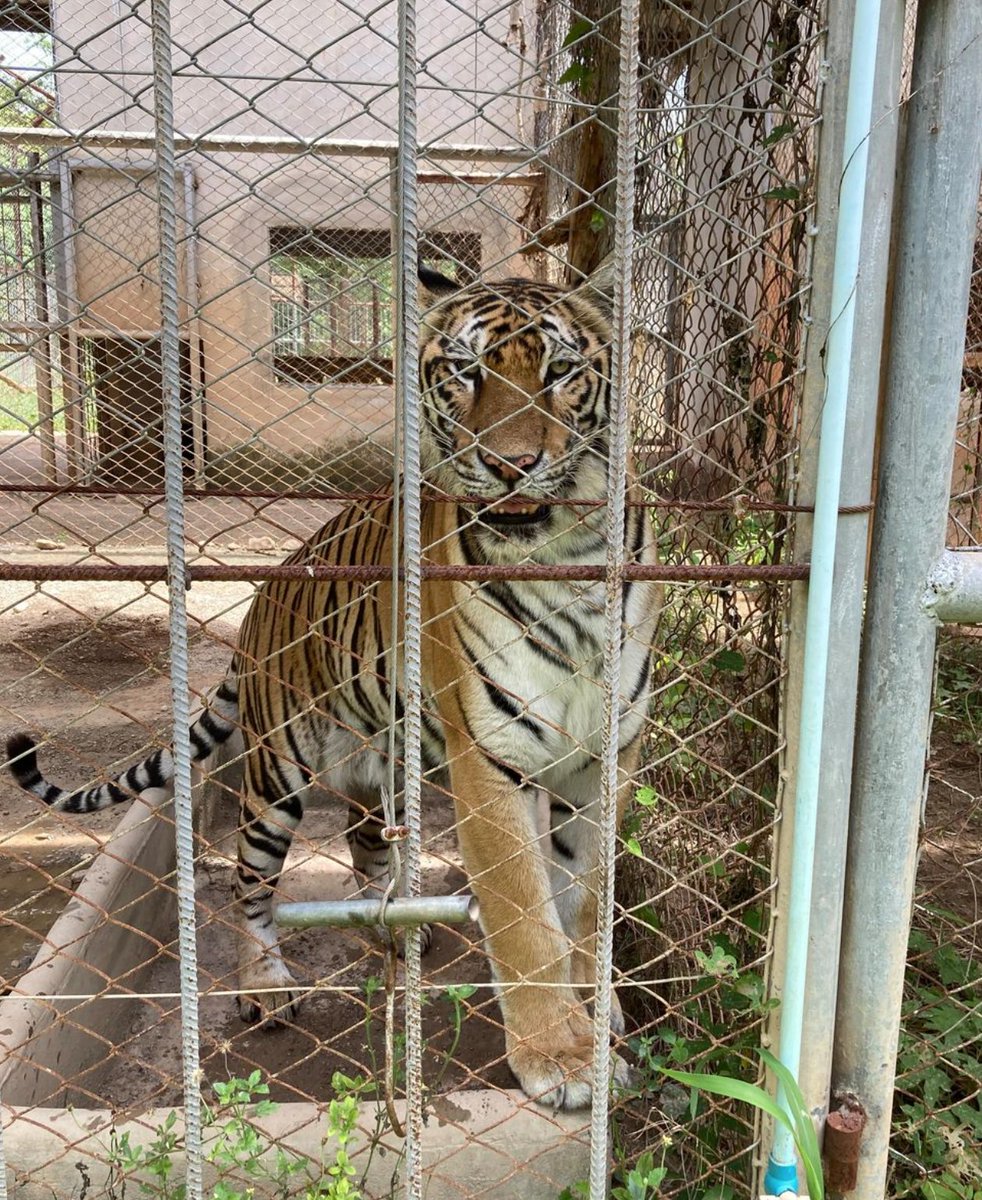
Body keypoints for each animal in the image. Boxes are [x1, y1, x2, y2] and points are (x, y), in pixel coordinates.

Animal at [6, 266, 660, 1110]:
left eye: (560, 371)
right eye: (465, 372)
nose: (509, 464)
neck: (570, 558)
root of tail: (272, 585)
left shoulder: (606, 755)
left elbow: (588, 902)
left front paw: (599, 1013)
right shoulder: (491, 760)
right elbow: (524, 912)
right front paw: (560, 1057)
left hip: (390, 753)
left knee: (364, 837)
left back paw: (395, 926)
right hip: (275, 773)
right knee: (250, 882)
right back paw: (264, 986)